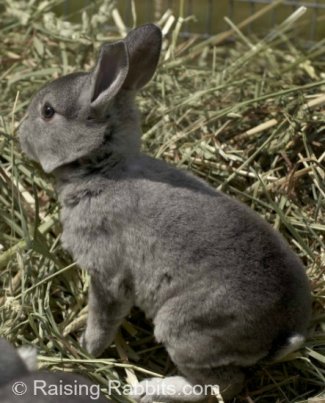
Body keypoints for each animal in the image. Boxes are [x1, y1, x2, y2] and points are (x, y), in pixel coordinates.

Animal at [18, 23, 312, 402]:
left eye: (48, 111)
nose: (19, 132)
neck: (103, 169)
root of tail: (283, 331)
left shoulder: (107, 276)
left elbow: (103, 317)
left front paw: (85, 346)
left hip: (185, 329)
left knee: (222, 384)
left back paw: (147, 389)